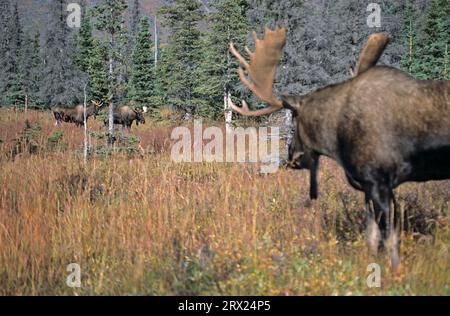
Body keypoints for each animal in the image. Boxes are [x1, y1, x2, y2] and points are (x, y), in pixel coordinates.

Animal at [229, 27, 450, 270]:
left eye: (294, 122)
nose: (291, 158)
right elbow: (371, 237)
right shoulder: (368, 186)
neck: (336, 136)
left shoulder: (380, 181)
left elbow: (390, 239)